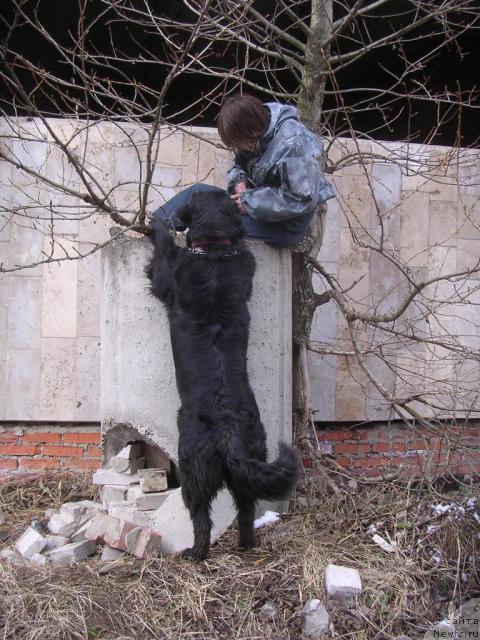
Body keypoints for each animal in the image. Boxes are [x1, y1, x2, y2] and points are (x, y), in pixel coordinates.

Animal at [146, 191, 296, 560]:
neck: (213, 250)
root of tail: (228, 432)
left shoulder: (166, 278)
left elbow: (161, 254)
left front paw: (156, 226)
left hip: (193, 467)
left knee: (201, 515)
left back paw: (195, 553)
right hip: (252, 460)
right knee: (245, 509)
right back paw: (246, 544)